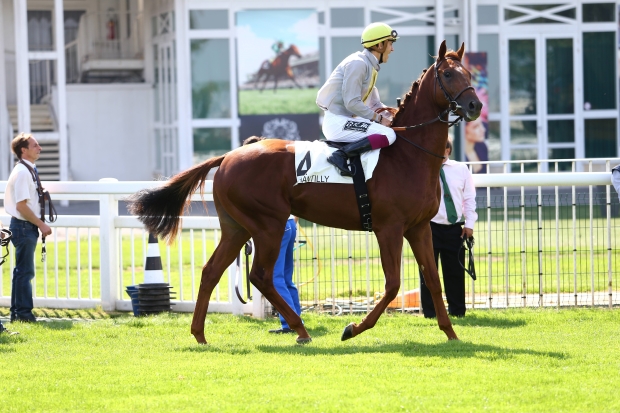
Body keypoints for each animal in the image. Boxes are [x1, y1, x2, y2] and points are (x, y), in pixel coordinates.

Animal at [130, 41, 480, 344]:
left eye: (468, 73)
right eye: (448, 74)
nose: (474, 105)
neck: (409, 154)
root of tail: (228, 156)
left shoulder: (419, 227)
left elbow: (433, 279)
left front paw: (451, 333)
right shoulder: (389, 228)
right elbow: (393, 284)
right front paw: (353, 328)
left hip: (237, 227)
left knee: (212, 271)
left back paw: (200, 334)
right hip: (268, 225)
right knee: (260, 275)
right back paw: (299, 329)